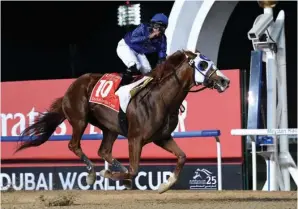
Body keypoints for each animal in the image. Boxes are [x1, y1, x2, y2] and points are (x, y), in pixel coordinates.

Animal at [15, 49, 230, 193]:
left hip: (110, 128)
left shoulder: (162, 137)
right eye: (203, 65)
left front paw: (163, 185)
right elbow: (135, 170)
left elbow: (182, 157)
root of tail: (73, 86)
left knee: (103, 150)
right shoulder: (135, 138)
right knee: (74, 145)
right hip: (79, 119)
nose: (225, 81)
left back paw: (116, 170)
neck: (161, 98)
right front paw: (109, 175)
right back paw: (93, 174)